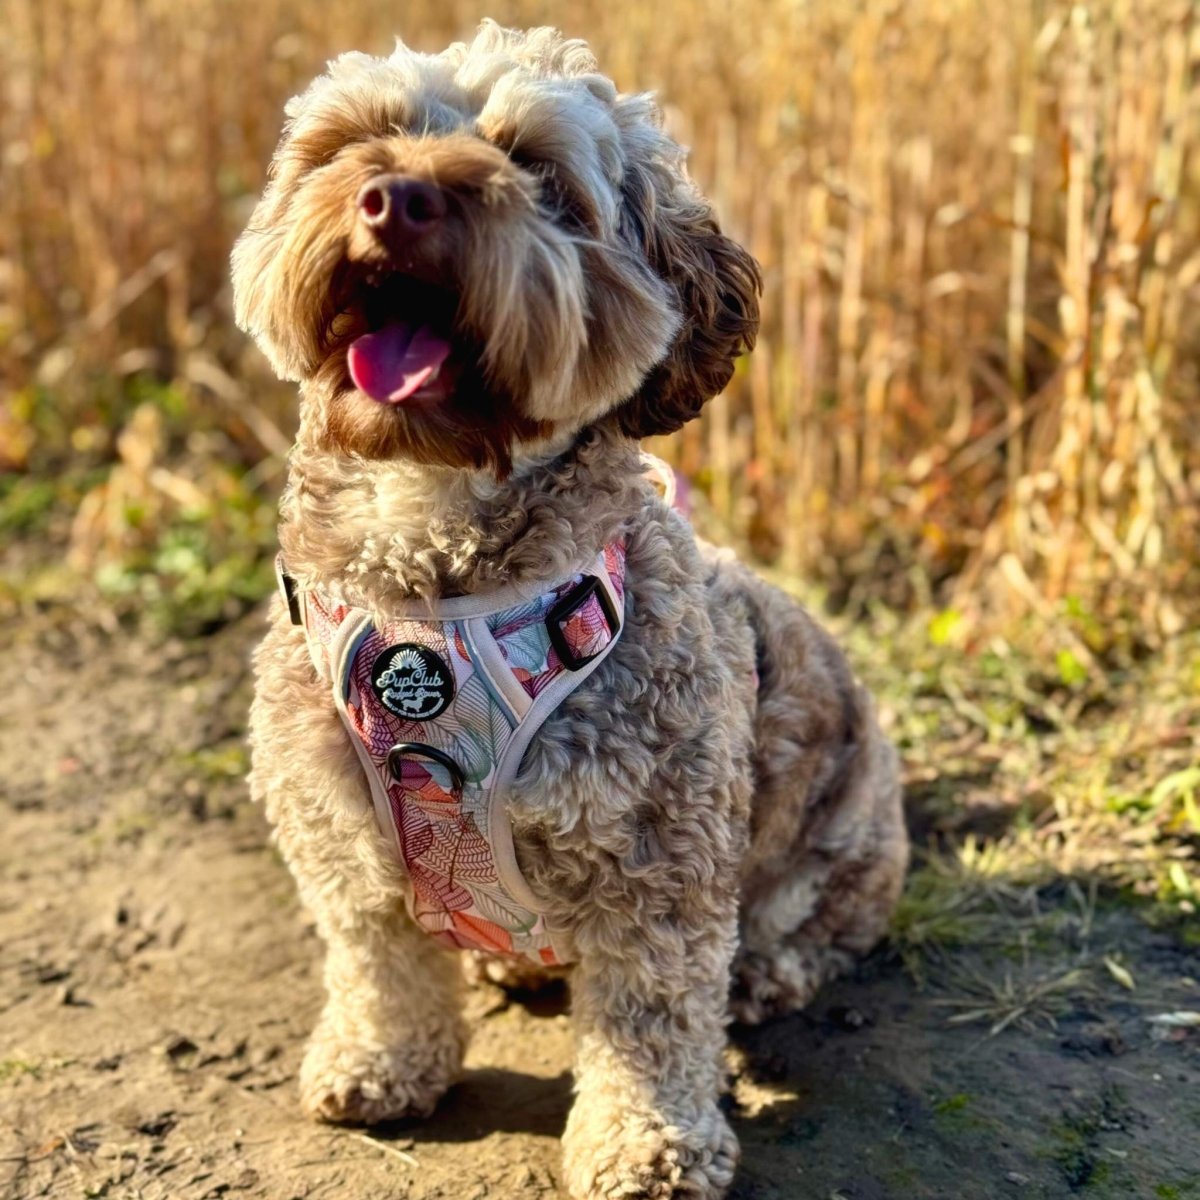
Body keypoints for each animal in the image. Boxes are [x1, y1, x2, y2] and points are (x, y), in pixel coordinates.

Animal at [231, 21, 907, 1200]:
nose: (396, 198)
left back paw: (767, 972)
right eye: (354, 139)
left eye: (539, 171)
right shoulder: (337, 838)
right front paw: (381, 1062)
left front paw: (647, 1144)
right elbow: (379, 964)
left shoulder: (660, 855)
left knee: (816, 927)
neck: (434, 582)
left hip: (848, 831)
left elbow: (650, 1016)